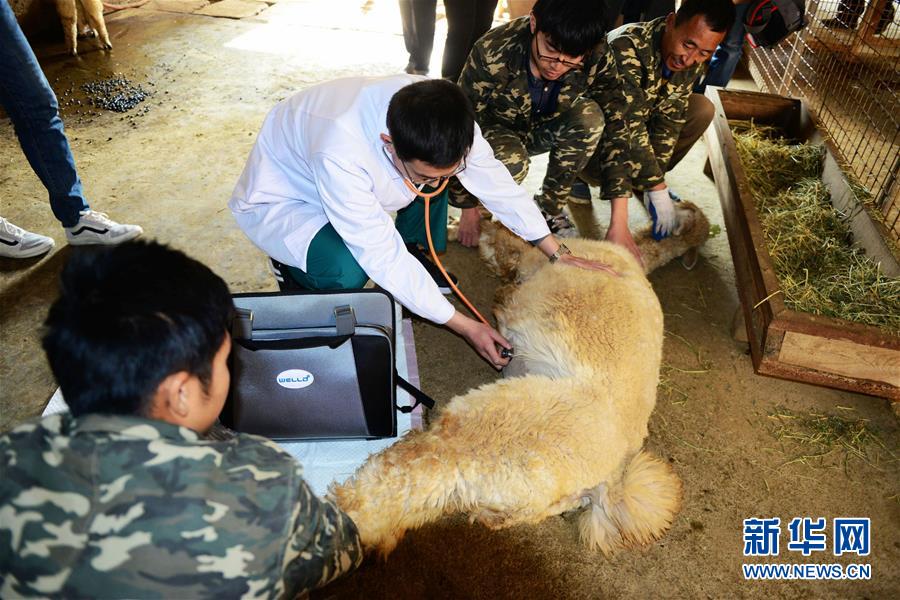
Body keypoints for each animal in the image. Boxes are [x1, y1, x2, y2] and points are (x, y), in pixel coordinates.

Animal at [330, 202, 712, 556]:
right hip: (516, 492)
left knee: (396, 483)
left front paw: (461, 228)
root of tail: (610, 481)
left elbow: (499, 239)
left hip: (481, 432)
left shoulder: (527, 255)